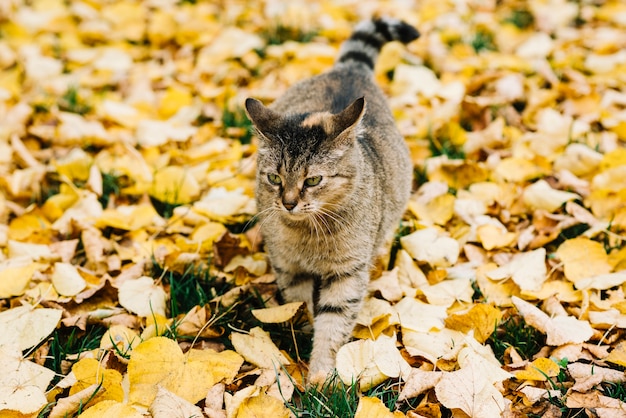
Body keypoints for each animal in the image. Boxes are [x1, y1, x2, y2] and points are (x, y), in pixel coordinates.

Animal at [245, 18, 420, 378]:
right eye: (274, 178)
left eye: (313, 180)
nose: (288, 202)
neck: (309, 234)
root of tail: (348, 69)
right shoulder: (288, 267)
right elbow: (302, 309)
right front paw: (304, 344)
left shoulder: (348, 274)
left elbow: (333, 326)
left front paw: (321, 375)